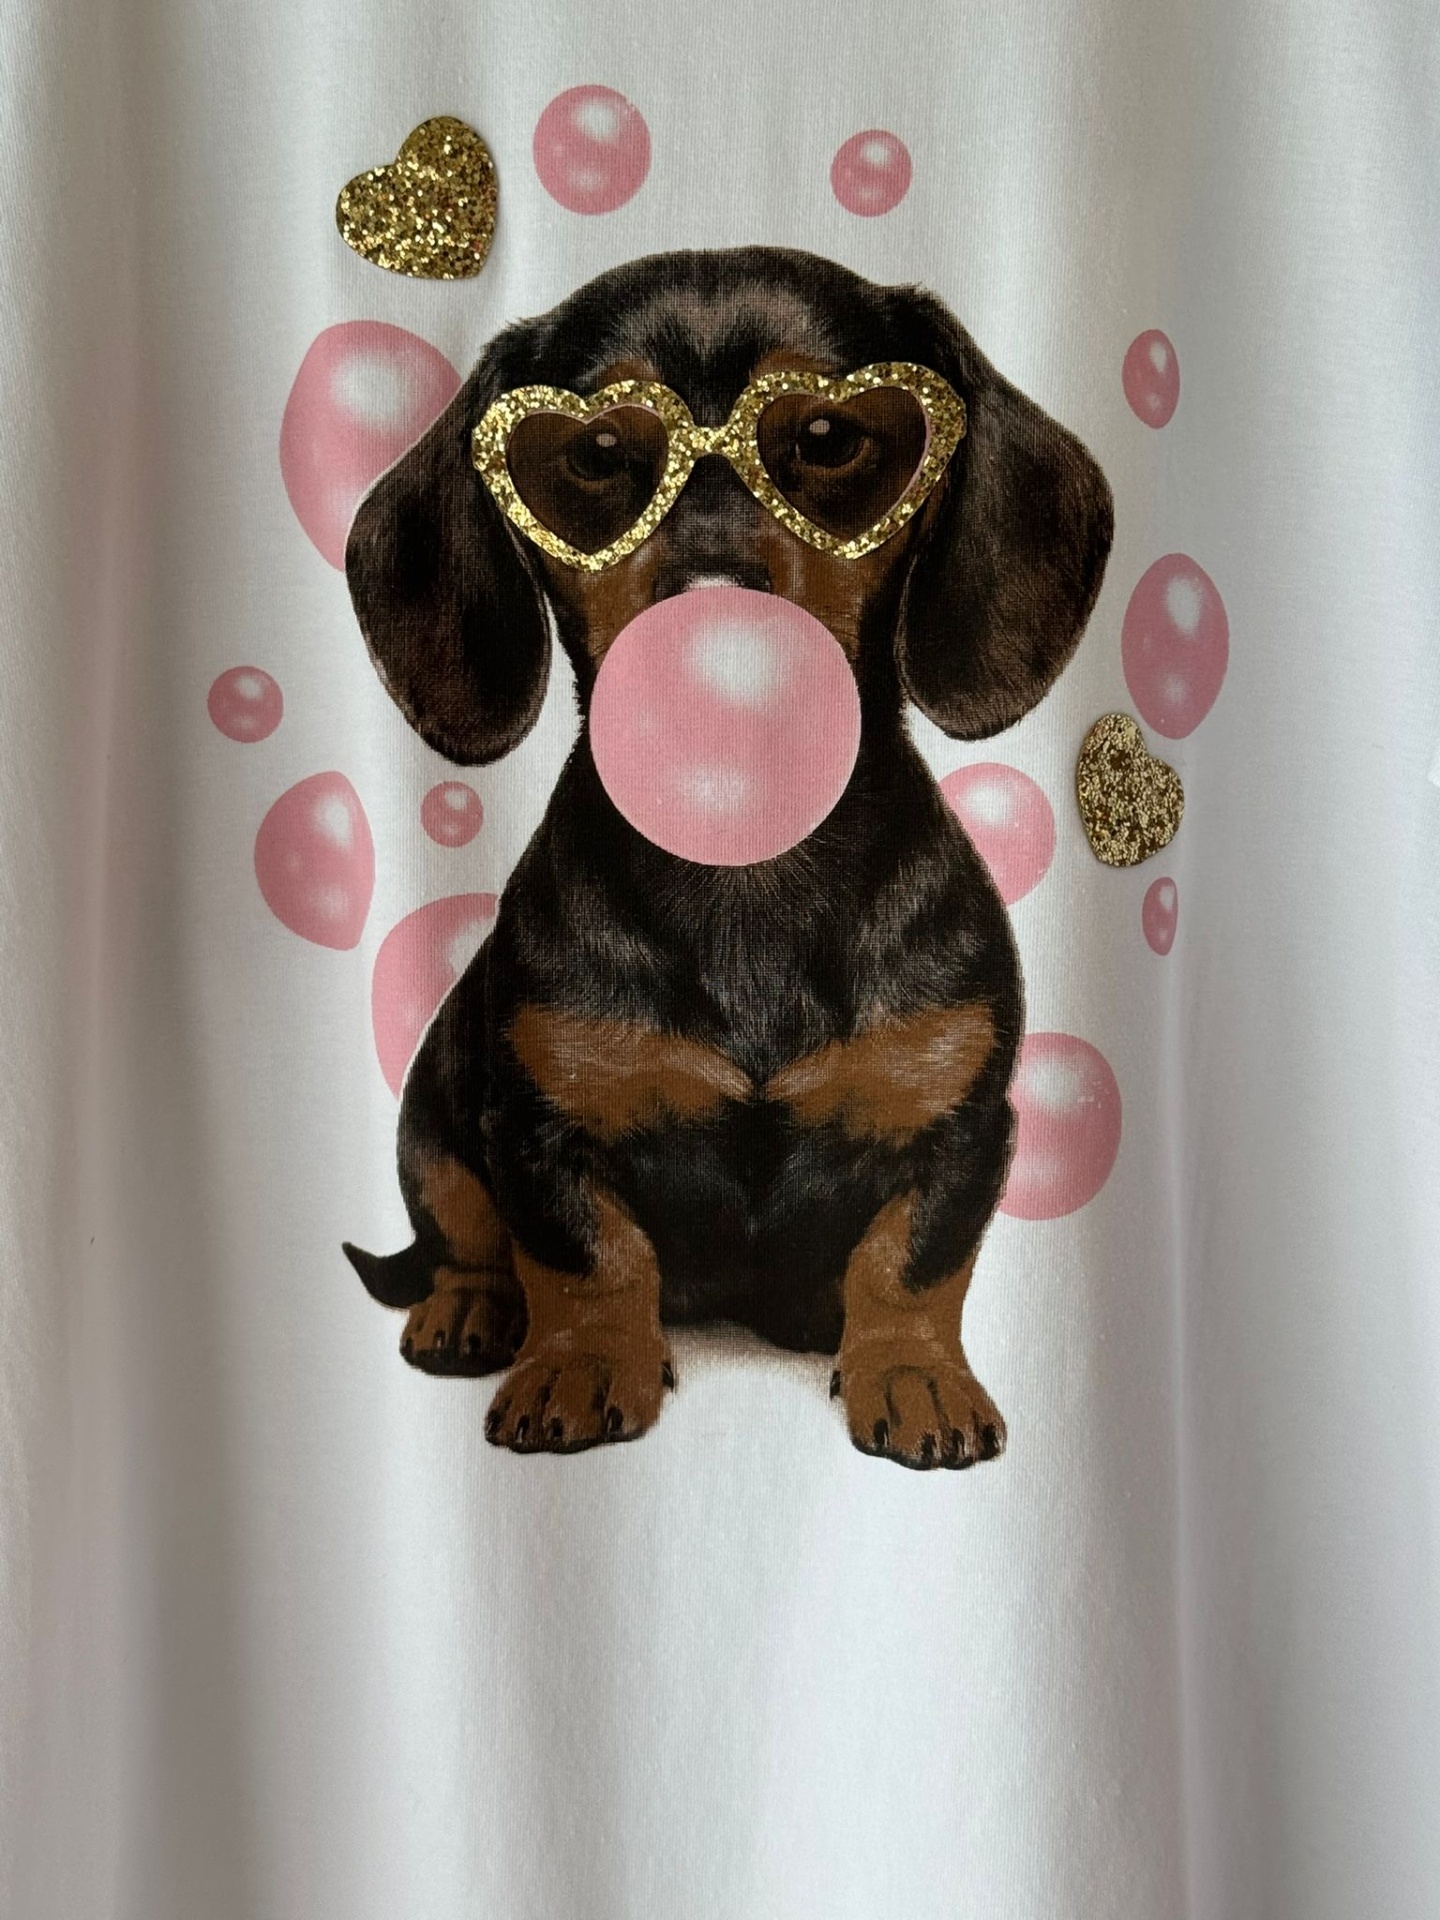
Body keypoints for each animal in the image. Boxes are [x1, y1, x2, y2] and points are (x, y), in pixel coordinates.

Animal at [343, 246, 1112, 1468]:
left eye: (831, 436)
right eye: (595, 453)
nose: (710, 613)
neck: (746, 859)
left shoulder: (963, 1124)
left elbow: (913, 1262)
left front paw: (916, 1376)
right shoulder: (537, 1129)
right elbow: (586, 1256)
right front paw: (581, 1362)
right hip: (433, 1119)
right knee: (464, 1231)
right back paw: (470, 1308)